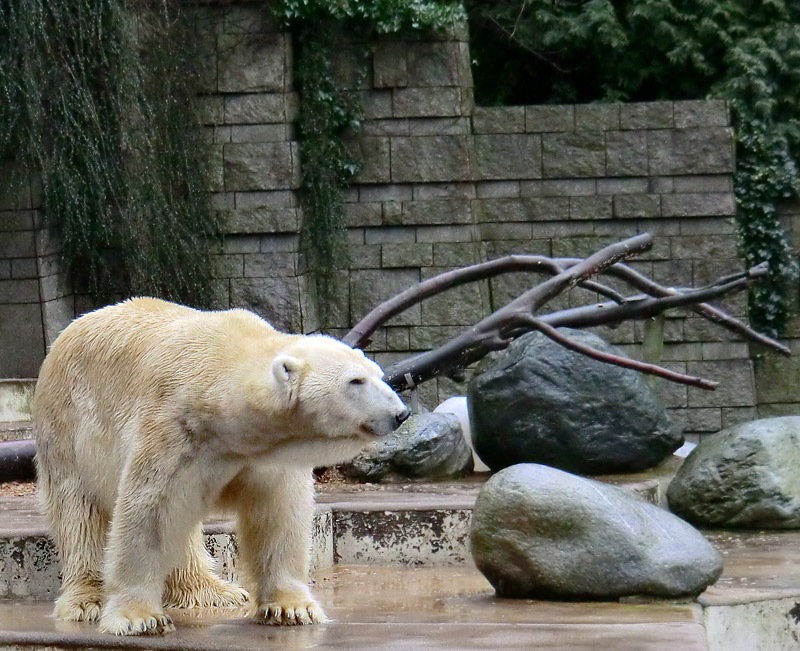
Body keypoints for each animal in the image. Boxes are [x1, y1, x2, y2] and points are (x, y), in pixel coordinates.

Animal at [32, 300, 410, 636]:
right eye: (355, 381)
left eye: (379, 375)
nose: (401, 413)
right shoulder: (174, 429)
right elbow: (150, 514)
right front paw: (138, 617)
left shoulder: (267, 457)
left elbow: (278, 514)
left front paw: (291, 607)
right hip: (67, 427)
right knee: (77, 513)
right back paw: (86, 599)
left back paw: (215, 591)